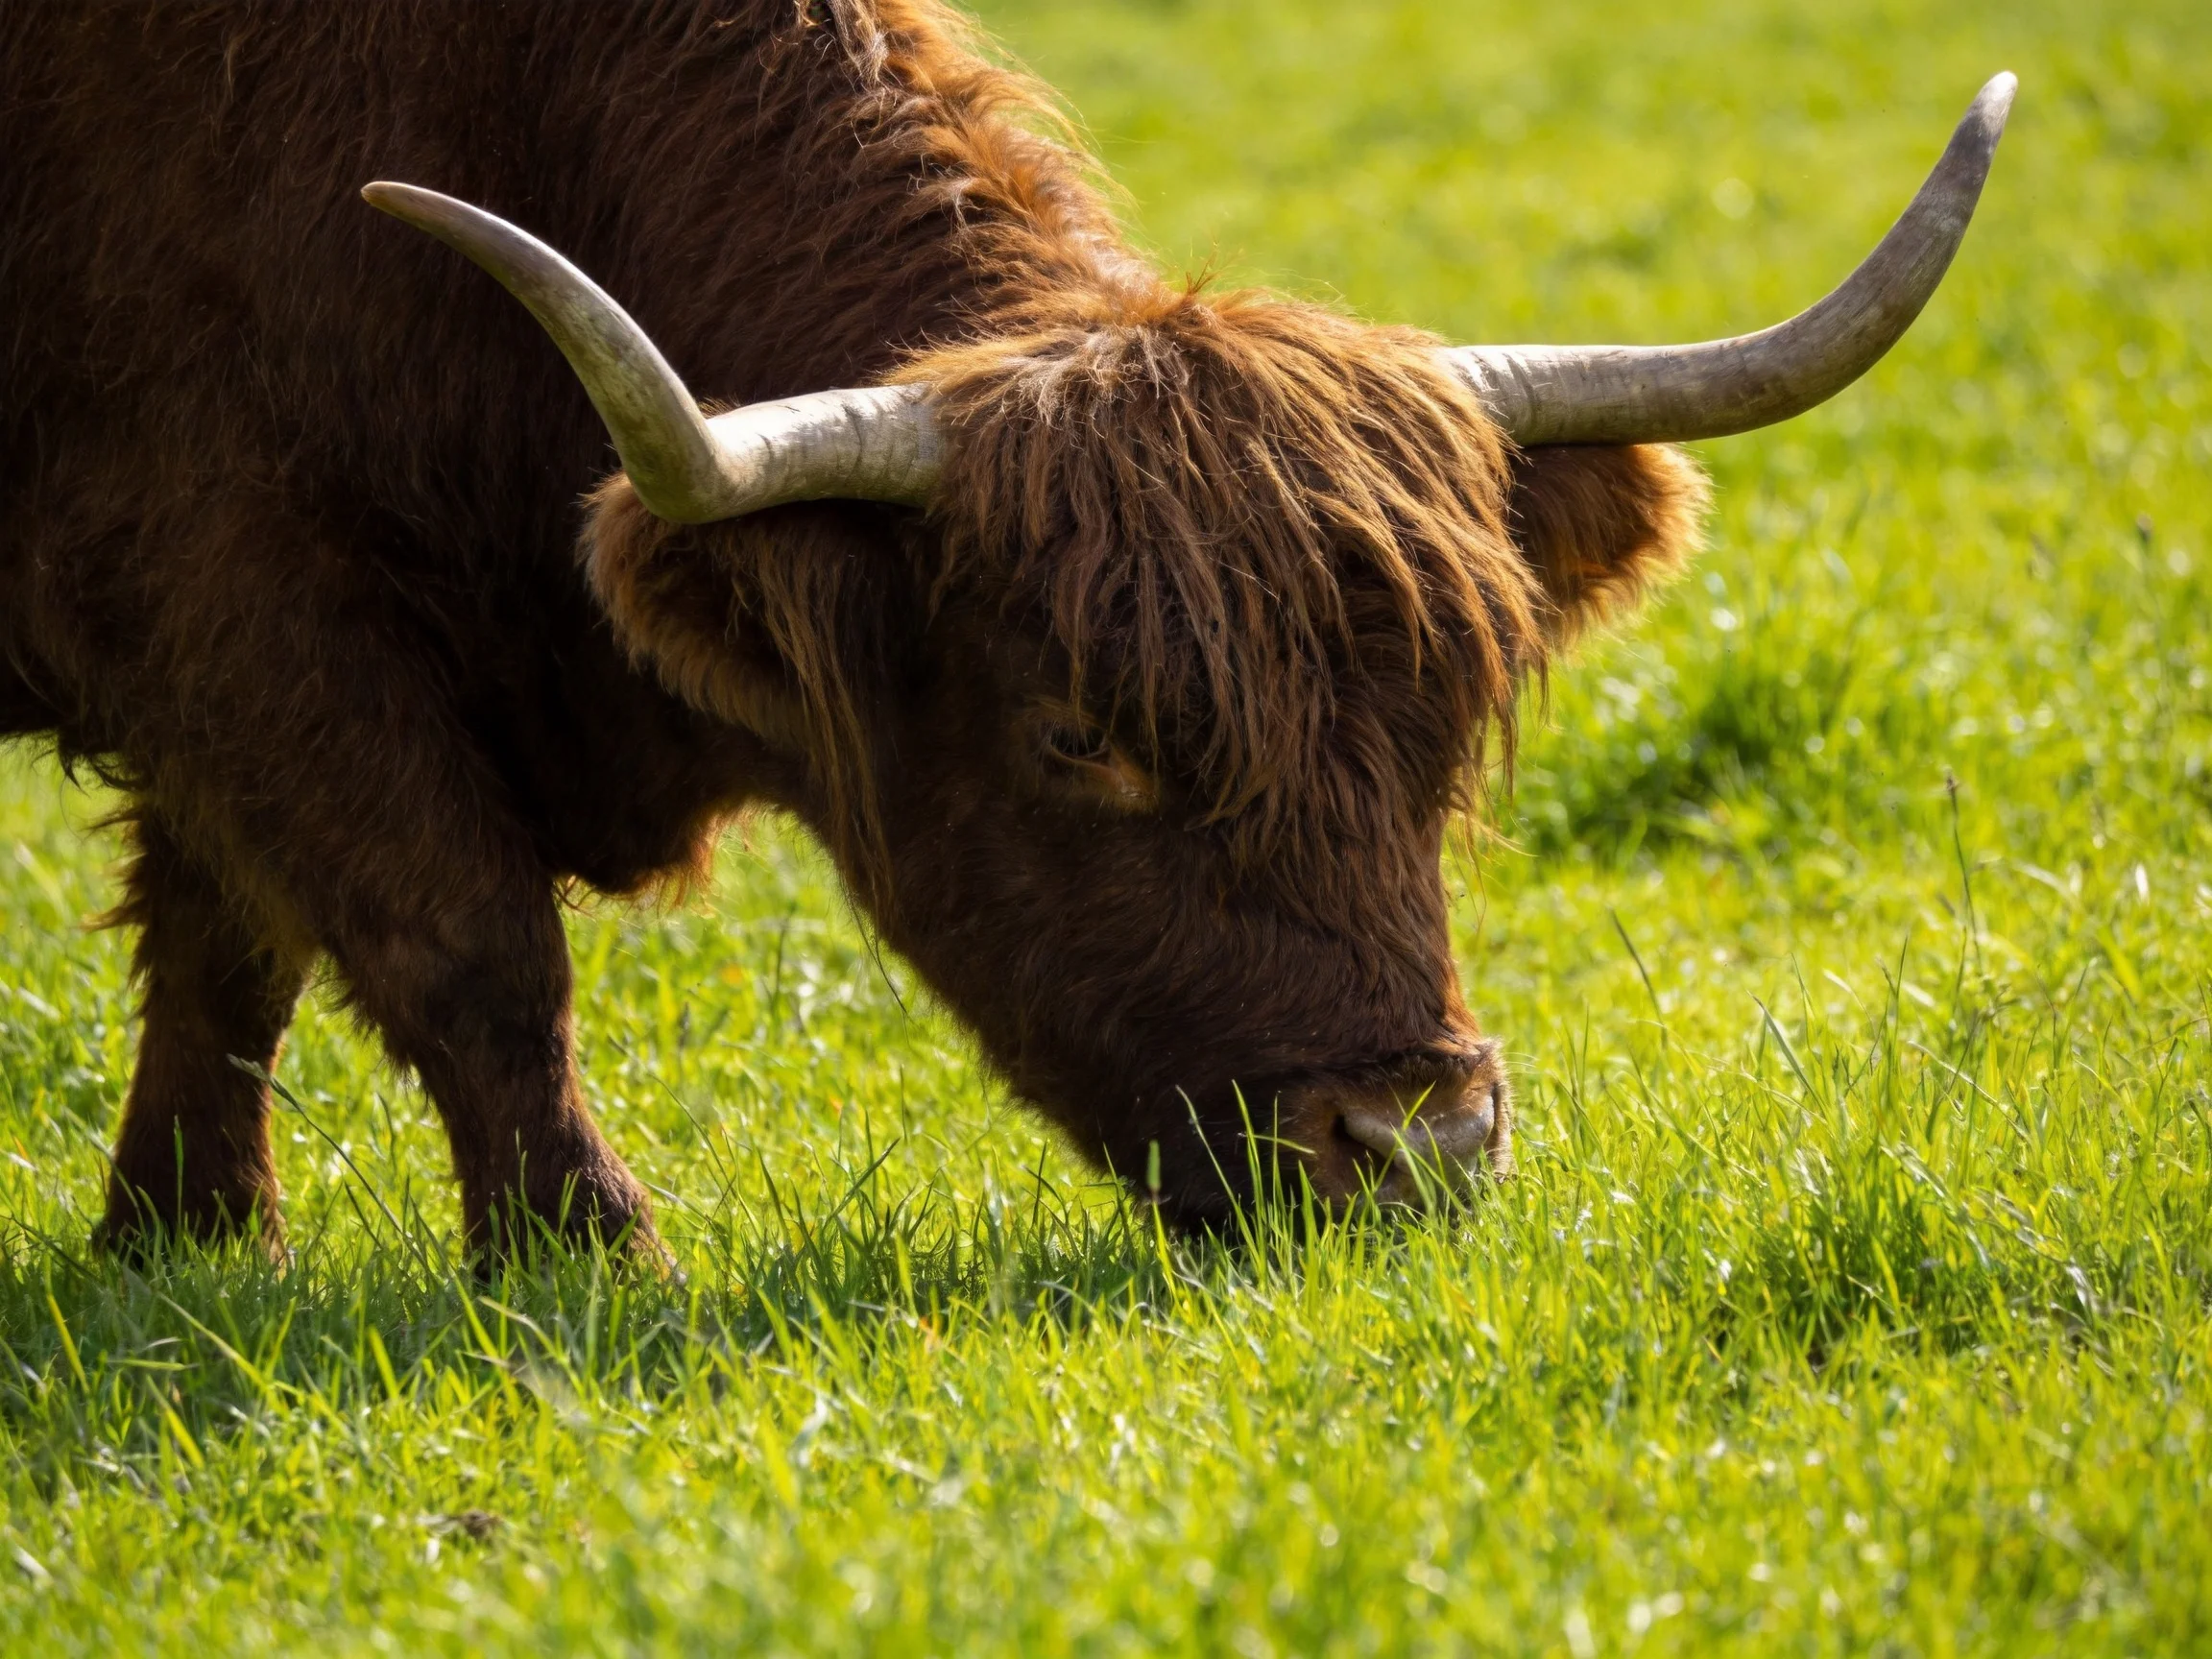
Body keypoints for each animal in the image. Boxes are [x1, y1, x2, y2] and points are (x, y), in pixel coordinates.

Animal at [0, 1, 2012, 1256]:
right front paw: (587, 1259)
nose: (1411, 1146)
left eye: (1442, 721)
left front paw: (177, 1241)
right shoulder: (227, 581)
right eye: (1076, 733)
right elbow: (460, 936)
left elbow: (227, 945)